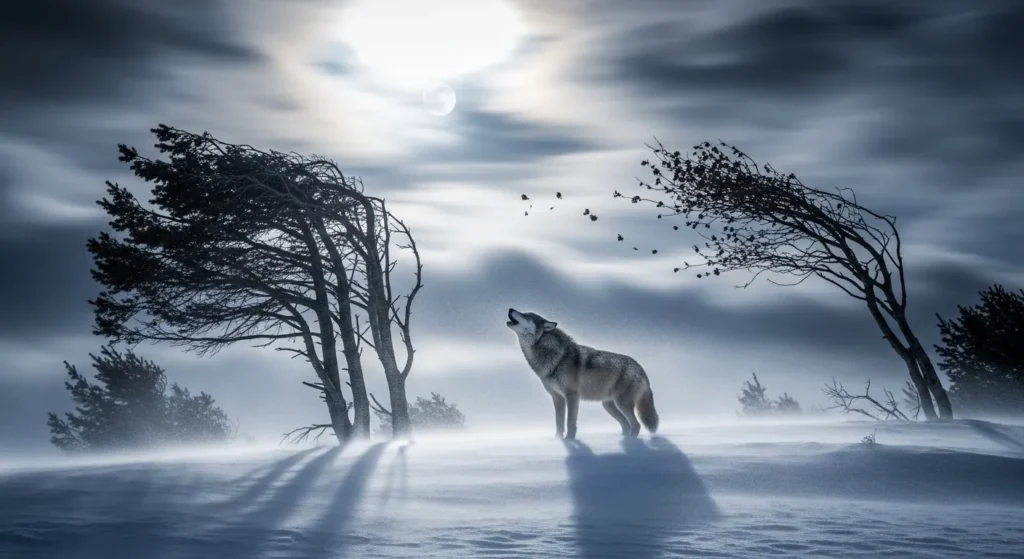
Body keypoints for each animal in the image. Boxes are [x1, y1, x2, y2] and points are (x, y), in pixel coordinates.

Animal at [506, 308, 659, 440]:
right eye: (524, 313)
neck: (557, 357)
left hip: (621, 404)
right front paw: (558, 441)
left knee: (636, 425)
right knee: (626, 425)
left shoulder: (572, 396)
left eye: (527, 316)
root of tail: (641, 368)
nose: (510, 309)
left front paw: (569, 440)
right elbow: (559, 423)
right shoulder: (557, 398)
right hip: (609, 406)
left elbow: (570, 422)